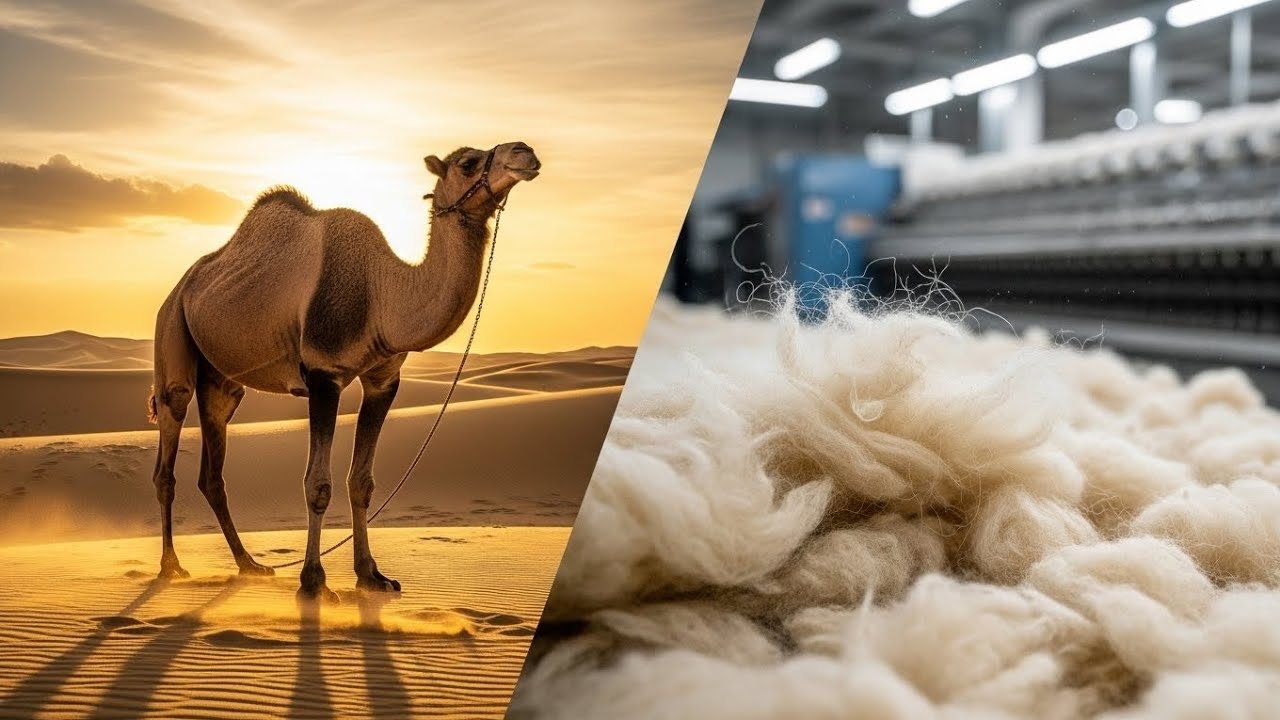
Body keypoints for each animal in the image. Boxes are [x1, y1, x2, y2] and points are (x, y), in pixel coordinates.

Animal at [146, 141, 540, 600]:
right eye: (467, 162)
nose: (524, 151)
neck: (381, 292)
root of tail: (183, 284)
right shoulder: (323, 374)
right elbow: (318, 484)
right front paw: (314, 581)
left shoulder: (383, 381)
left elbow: (362, 482)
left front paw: (372, 575)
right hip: (172, 331)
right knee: (168, 450)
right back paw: (171, 566)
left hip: (222, 380)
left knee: (212, 473)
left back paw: (250, 565)